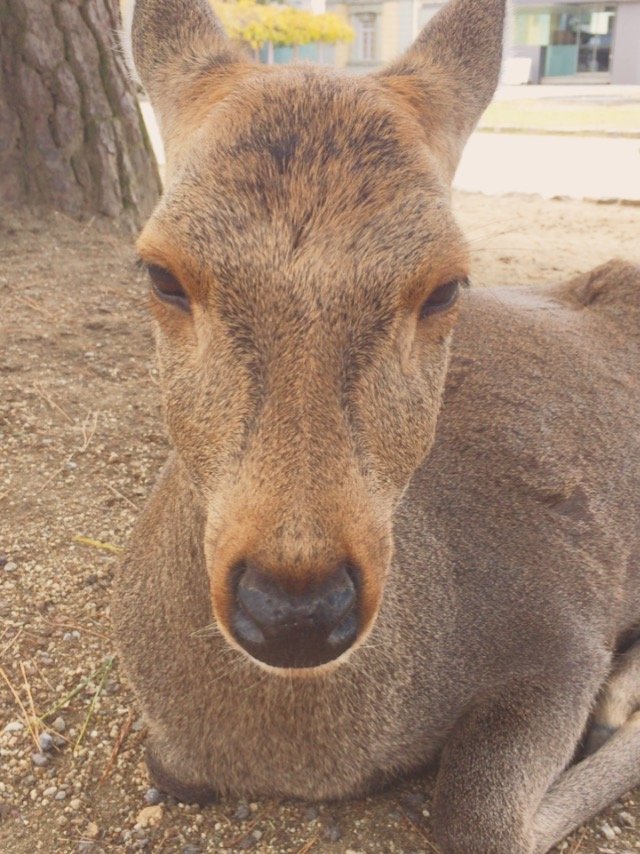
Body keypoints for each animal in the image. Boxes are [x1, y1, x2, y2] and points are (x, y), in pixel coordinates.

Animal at [115, 1, 640, 848]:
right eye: (161, 273)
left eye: (446, 286)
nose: (295, 611)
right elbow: (170, 771)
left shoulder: (562, 624)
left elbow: (479, 817)